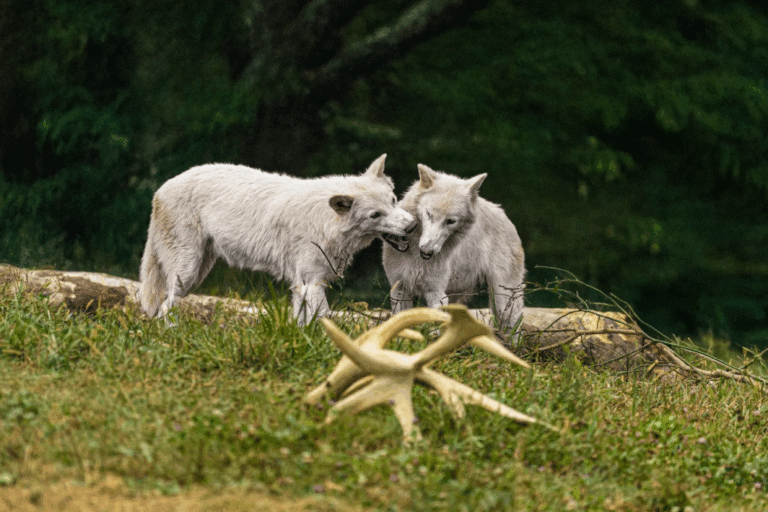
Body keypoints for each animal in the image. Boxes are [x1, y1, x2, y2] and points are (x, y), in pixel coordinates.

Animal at [139, 154, 416, 325]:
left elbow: (302, 324)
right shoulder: (311, 284)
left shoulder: (302, 286)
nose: (412, 225)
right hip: (187, 272)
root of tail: (160, 190)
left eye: (393, 201)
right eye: (375, 215)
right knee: (165, 307)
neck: (326, 221)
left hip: (196, 274)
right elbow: (326, 320)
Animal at [382, 164, 526, 342]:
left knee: (515, 326)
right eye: (429, 214)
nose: (427, 251)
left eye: (450, 221)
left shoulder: (436, 293)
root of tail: (505, 216)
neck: (416, 254)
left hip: (503, 297)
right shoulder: (399, 288)